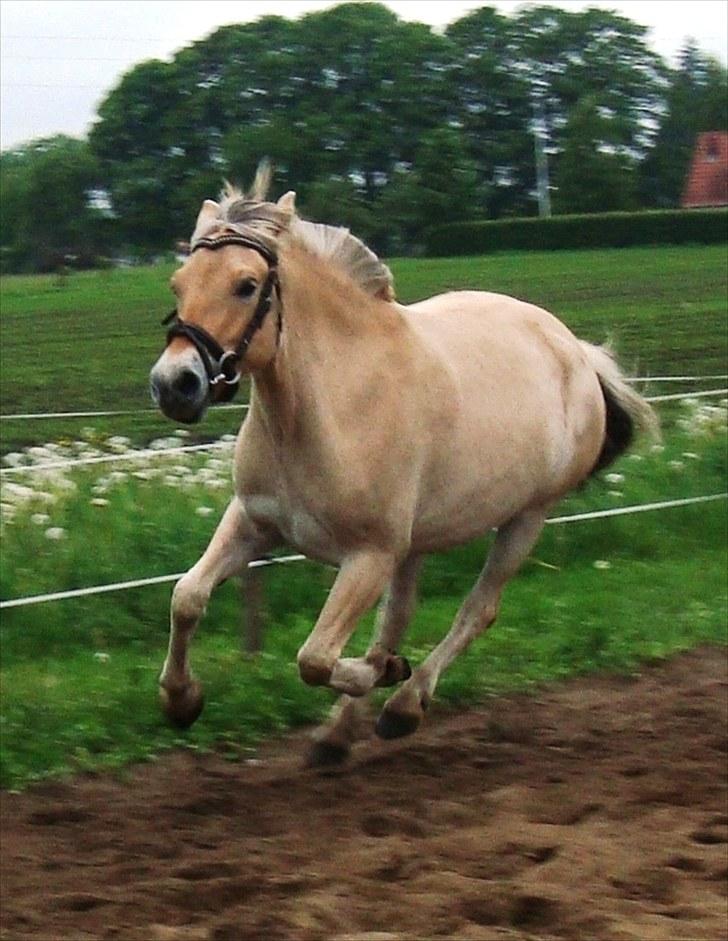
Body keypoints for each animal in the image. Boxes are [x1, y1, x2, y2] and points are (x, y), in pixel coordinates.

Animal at [148, 163, 656, 764]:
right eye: (179, 284)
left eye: (246, 285)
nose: (174, 385)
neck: (325, 407)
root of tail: (576, 350)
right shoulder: (255, 522)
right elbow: (187, 597)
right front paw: (181, 701)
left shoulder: (370, 554)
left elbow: (314, 657)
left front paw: (384, 673)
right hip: (416, 542)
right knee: (400, 616)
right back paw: (339, 733)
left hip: (525, 518)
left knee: (476, 610)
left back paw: (403, 705)